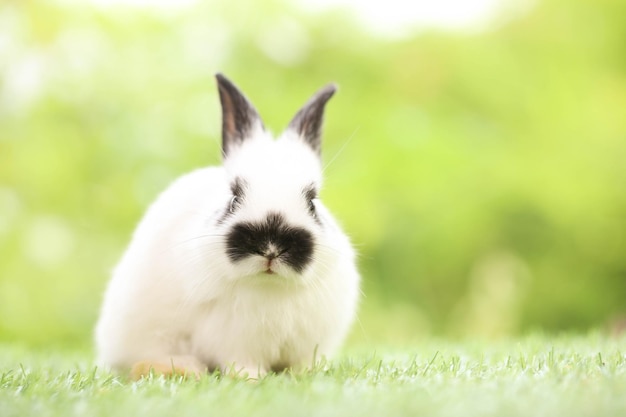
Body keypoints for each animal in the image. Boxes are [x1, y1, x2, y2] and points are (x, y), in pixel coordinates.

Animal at [94, 73, 358, 378]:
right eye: (233, 197)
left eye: (312, 202)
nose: (271, 247)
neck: (270, 288)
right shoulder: (234, 340)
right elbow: (242, 363)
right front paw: (251, 379)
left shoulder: (309, 344)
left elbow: (303, 363)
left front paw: (308, 374)